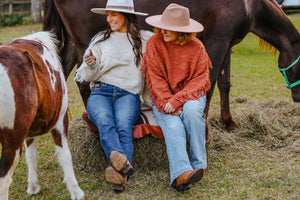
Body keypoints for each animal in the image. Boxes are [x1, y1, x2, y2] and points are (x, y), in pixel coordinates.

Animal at [0, 31, 85, 200]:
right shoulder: (60, 121)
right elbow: (65, 155)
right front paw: (76, 192)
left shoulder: (28, 132)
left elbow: (31, 156)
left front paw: (33, 187)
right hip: (11, 142)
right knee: (4, 181)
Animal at [42, 0, 300, 130]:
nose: (297, 98)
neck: (249, 5)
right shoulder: (216, 42)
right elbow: (209, 84)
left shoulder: (227, 44)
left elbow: (224, 84)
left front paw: (228, 122)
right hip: (86, 42)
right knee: (83, 83)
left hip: (74, 44)